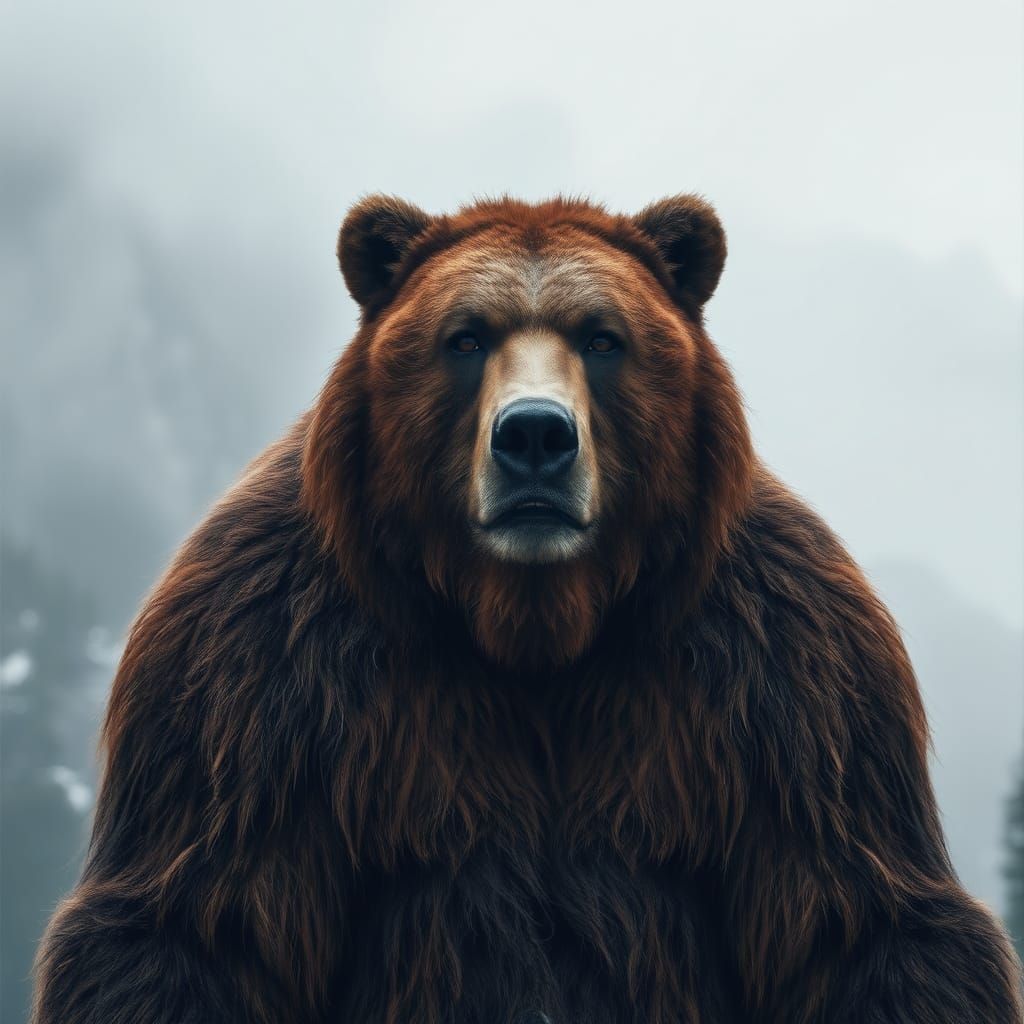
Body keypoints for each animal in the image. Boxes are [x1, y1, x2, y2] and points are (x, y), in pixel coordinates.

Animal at [33, 194, 1023, 1024]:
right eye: (465, 337)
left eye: (604, 338)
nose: (537, 435)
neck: (531, 620)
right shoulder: (262, 660)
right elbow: (201, 921)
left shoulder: (782, 670)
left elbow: (856, 922)